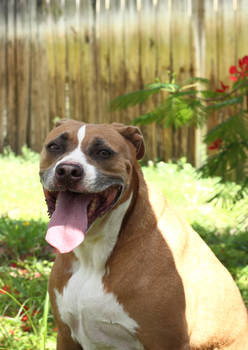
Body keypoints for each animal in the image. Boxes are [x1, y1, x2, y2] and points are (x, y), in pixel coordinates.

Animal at [39, 119, 248, 348]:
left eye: (103, 152)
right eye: (54, 146)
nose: (68, 170)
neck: (94, 253)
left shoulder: (166, 342)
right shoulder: (66, 335)